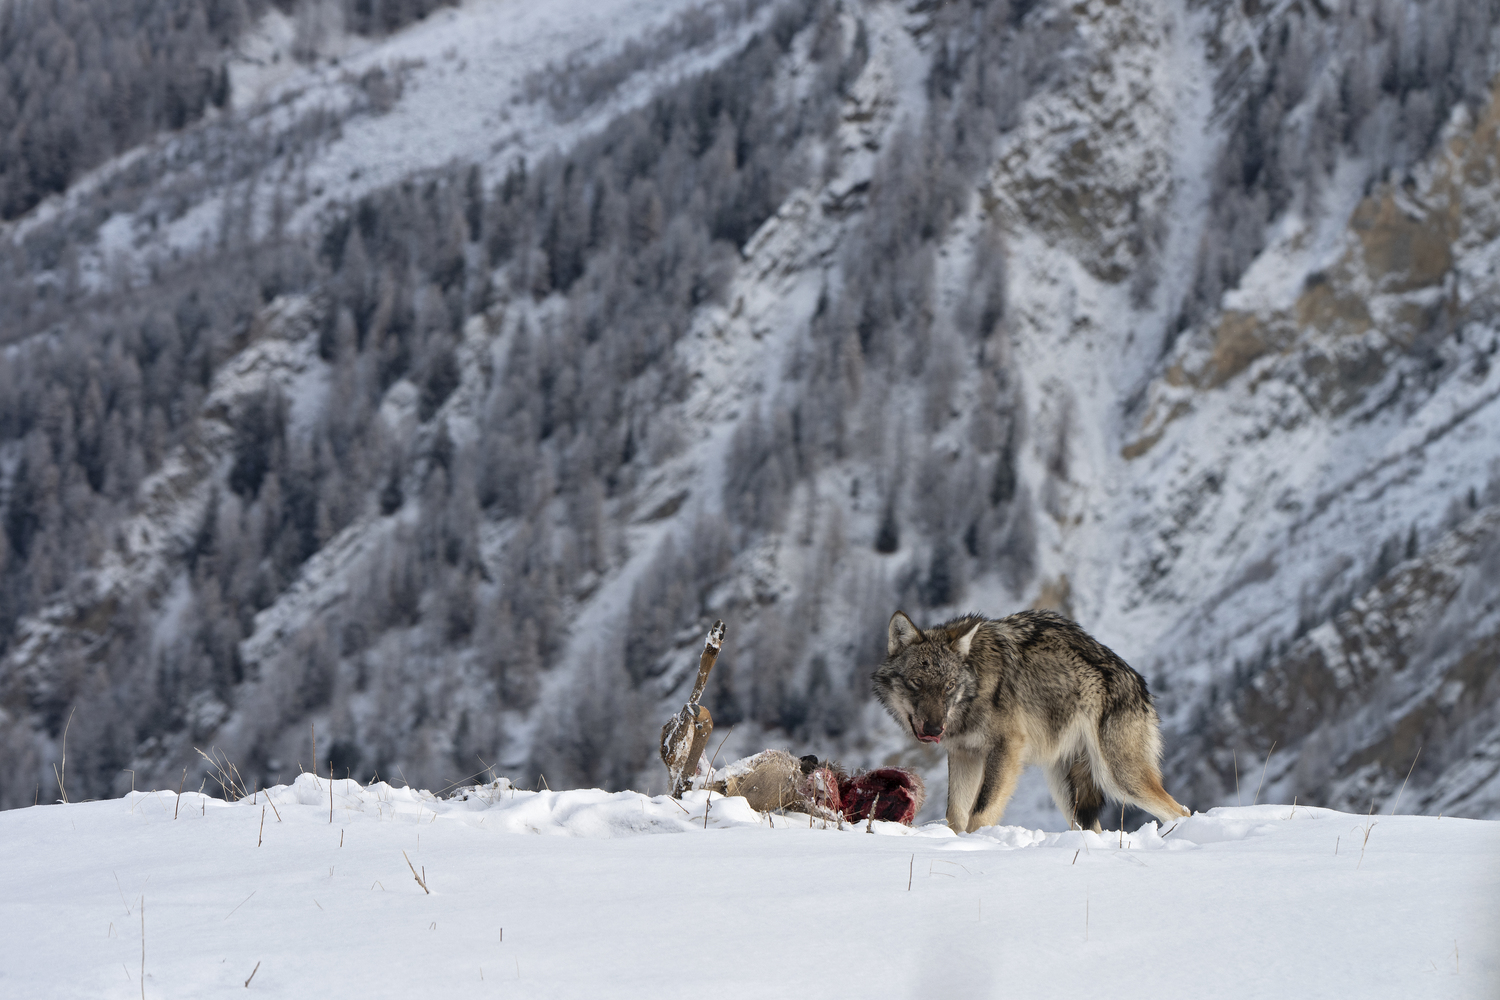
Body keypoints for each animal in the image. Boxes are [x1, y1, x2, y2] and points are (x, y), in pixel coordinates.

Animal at [872, 609, 1190, 833]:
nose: (934, 729)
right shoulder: (964, 753)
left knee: (1181, 811)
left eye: (949, 686)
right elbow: (956, 814)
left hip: (1118, 777)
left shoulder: (1006, 749)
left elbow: (981, 812)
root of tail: (1138, 681)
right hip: (1068, 789)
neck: (975, 688)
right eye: (916, 682)